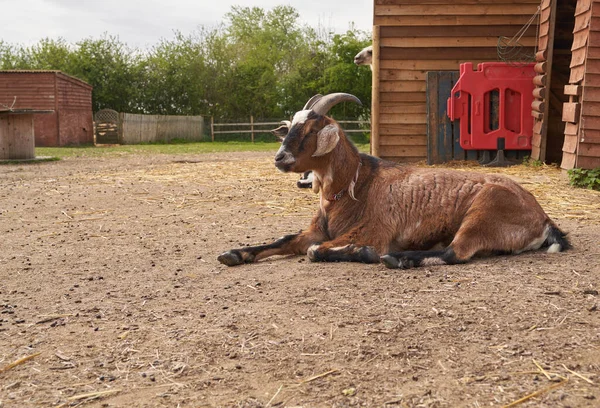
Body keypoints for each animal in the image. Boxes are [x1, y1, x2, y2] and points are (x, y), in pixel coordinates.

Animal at [217, 94, 572, 270]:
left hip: (484, 212)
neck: (359, 185)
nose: (279, 158)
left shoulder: (374, 231)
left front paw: (365, 253)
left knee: (455, 253)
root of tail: (543, 218)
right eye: (289, 127)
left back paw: (396, 259)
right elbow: (286, 239)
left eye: (312, 130)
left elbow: (315, 251)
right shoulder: (315, 230)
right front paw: (235, 253)